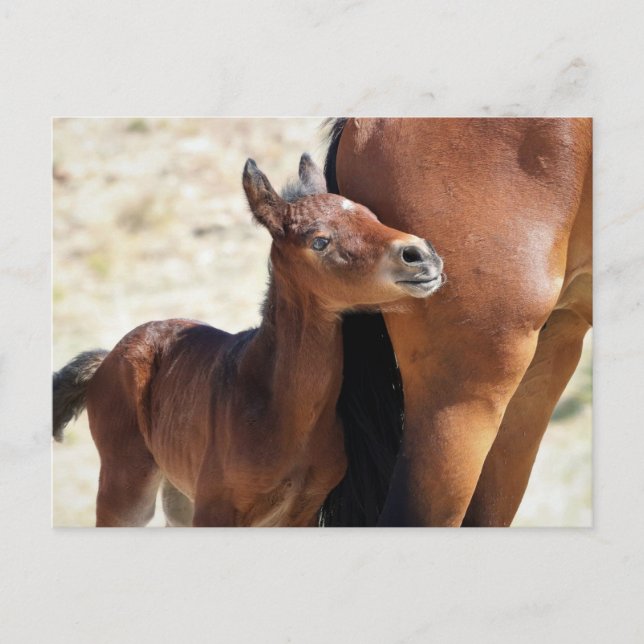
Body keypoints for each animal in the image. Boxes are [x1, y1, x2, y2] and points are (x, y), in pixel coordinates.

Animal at [53, 153, 444, 527]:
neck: (280, 410)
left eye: (372, 216)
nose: (421, 255)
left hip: (178, 495)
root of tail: (107, 358)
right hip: (126, 483)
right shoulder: (215, 510)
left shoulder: (301, 512)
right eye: (319, 241)